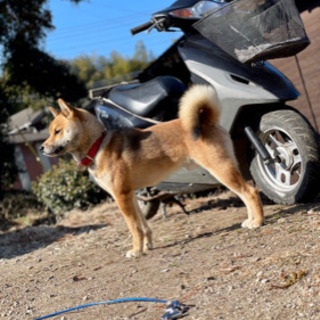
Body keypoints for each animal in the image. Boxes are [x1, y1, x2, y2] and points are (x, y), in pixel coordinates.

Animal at [40, 85, 264, 258]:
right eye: (50, 132)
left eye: (57, 131)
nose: (41, 148)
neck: (98, 145)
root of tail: (206, 120)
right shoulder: (131, 195)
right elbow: (144, 226)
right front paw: (147, 246)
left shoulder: (121, 197)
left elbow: (134, 228)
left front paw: (136, 250)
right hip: (225, 170)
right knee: (245, 194)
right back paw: (250, 220)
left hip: (221, 169)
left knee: (250, 192)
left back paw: (258, 222)